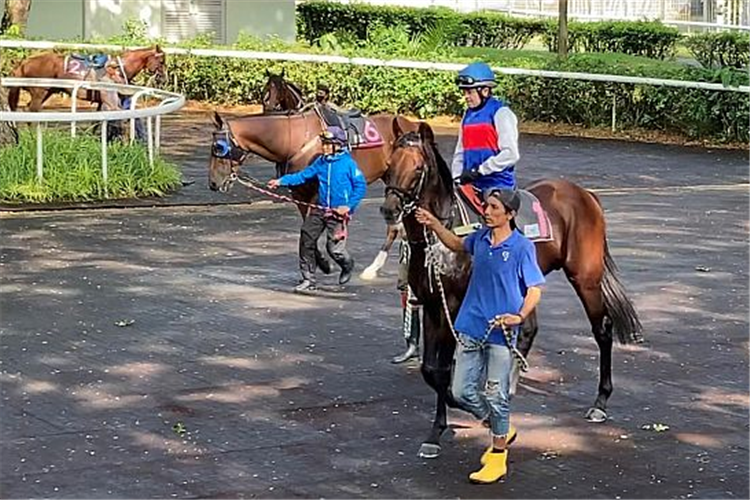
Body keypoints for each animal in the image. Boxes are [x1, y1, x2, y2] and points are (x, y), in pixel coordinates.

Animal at [7, 45, 166, 111]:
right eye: (162, 61)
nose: (163, 78)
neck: (119, 68)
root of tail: (25, 63)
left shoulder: (102, 101)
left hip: (47, 92)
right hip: (40, 91)